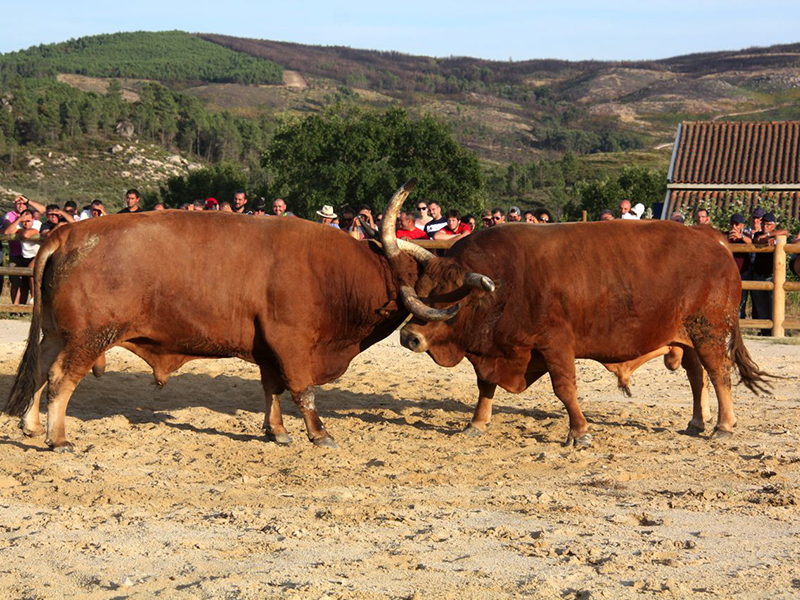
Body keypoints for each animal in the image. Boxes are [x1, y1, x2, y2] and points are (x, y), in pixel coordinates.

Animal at [4, 188, 424, 450]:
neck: (330, 270)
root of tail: (69, 233)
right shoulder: (290, 343)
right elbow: (302, 391)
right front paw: (319, 434)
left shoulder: (267, 348)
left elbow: (272, 390)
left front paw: (276, 431)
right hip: (86, 339)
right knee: (60, 378)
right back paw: (57, 438)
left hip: (57, 335)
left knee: (39, 370)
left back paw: (32, 425)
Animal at [382, 193, 768, 446]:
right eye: (423, 287)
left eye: (451, 295)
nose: (409, 336)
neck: (507, 283)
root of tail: (713, 239)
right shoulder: (494, 351)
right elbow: (485, 386)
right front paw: (477, 422)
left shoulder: (555, 344)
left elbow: (565, 388)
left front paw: (579, 431)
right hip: (686, 337)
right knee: (696, 376)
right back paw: (697, 422)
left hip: (710, 331)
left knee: (719, 374)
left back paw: (723, 426)